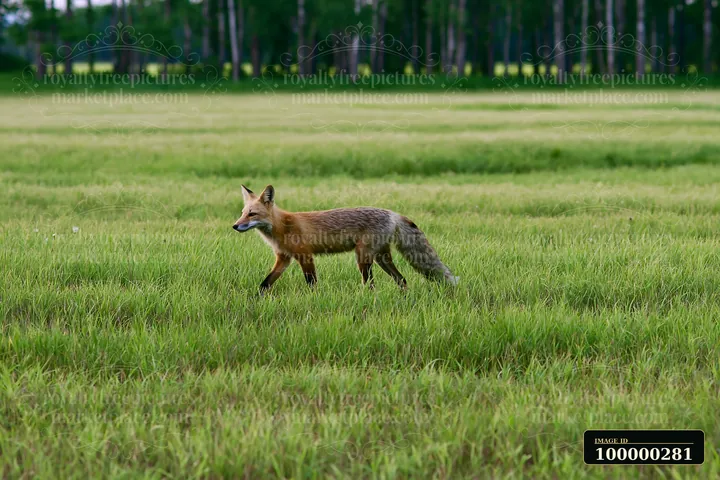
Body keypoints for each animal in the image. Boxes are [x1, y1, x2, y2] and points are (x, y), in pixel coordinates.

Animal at [232, 185, 458, 292]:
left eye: (252, 214)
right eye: (242, 213)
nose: (235, 226)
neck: (282, 226)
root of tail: (392, 213)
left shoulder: (305, 256)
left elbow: (312, 283)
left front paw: (314, 300)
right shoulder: (284, 258)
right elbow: (265, 284)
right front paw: (255, 300)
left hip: (363, 257)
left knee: (371, 285)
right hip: (381, 257)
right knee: (401, 279)